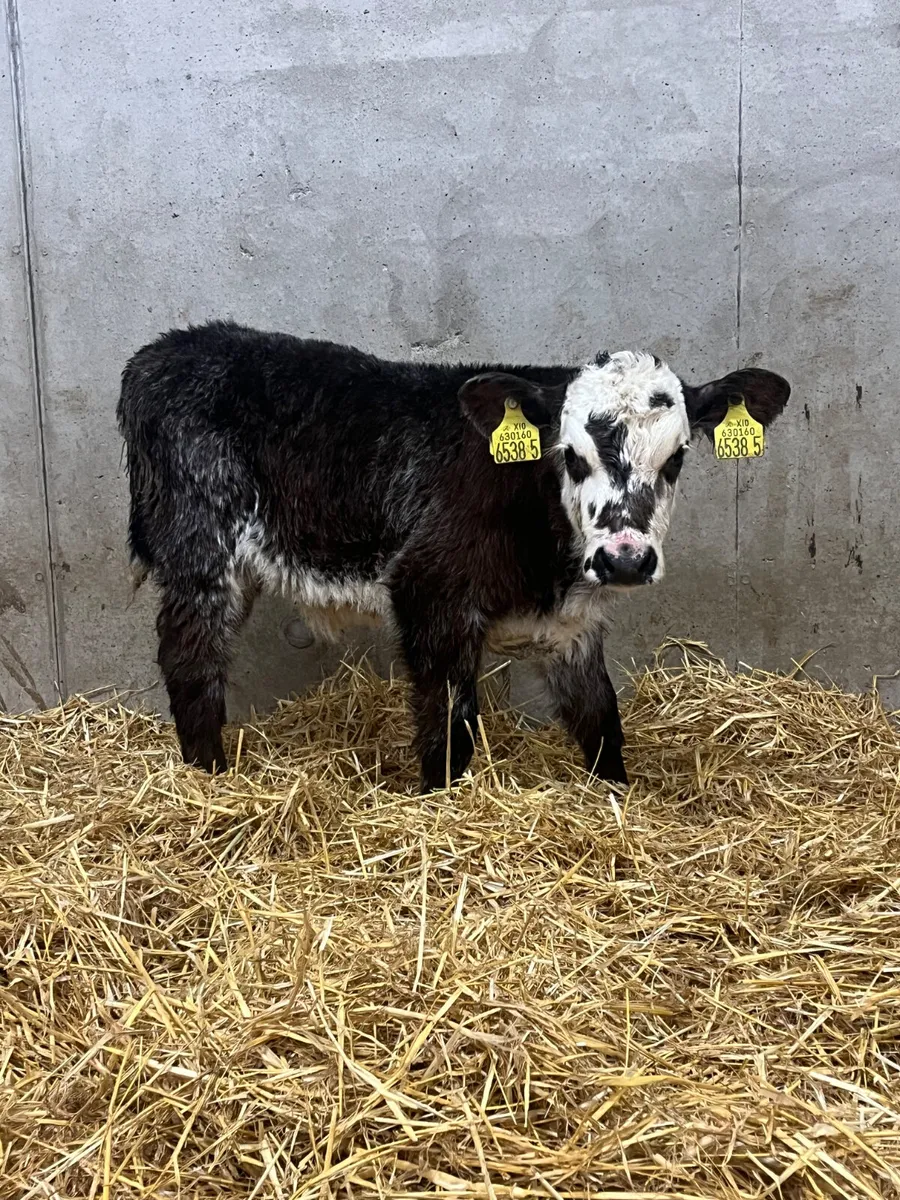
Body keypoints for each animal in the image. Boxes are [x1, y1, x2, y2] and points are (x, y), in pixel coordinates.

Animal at [117, 321, 789, 791]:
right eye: (571, 455)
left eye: (676, 458)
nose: (625, 559)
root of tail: (160, 352)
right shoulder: (429, 590)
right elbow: (448, 727)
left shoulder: (573, 626)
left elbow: (601, 722)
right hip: (199, 547)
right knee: (191, 660)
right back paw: (209, 778)